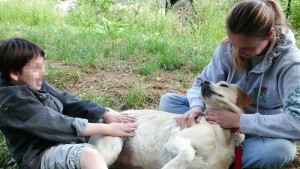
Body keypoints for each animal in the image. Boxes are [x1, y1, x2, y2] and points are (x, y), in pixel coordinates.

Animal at [89, 80, 253, 169]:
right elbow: (188, 153)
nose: (203, 82)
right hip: (112, 145)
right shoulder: (176, 139)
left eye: (224, 84)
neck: (224, 133)